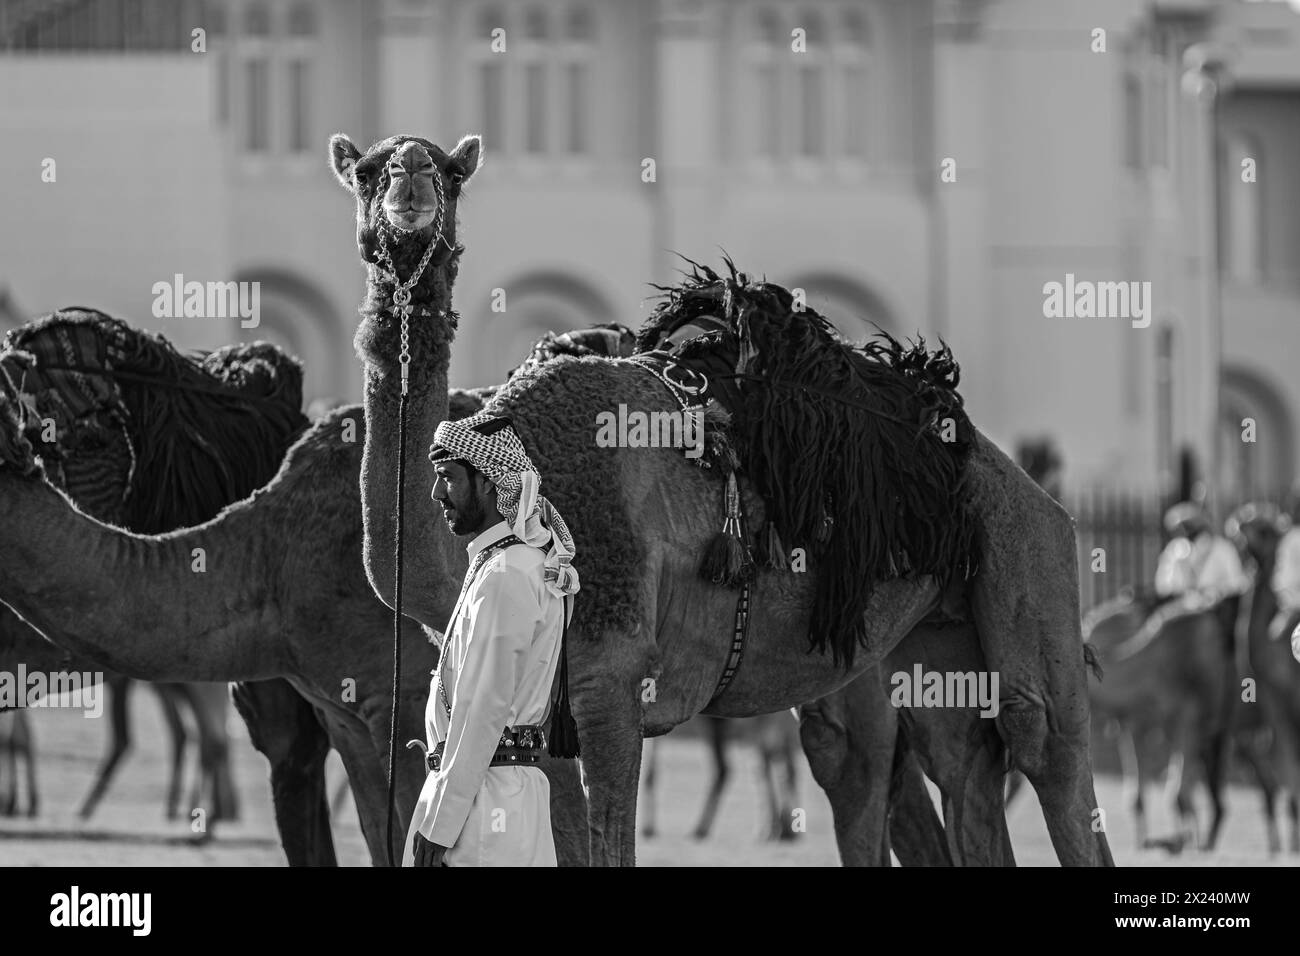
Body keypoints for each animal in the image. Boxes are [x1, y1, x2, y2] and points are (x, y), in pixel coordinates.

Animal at [332, 130, 1107, 868]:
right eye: (366, 171)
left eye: (450, 173)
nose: (409, 178)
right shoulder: (546, 723)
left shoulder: (611, 681)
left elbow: (611, 840)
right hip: (920, 637)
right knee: (911, 762)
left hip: (1025, 553)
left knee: (1044, 743)